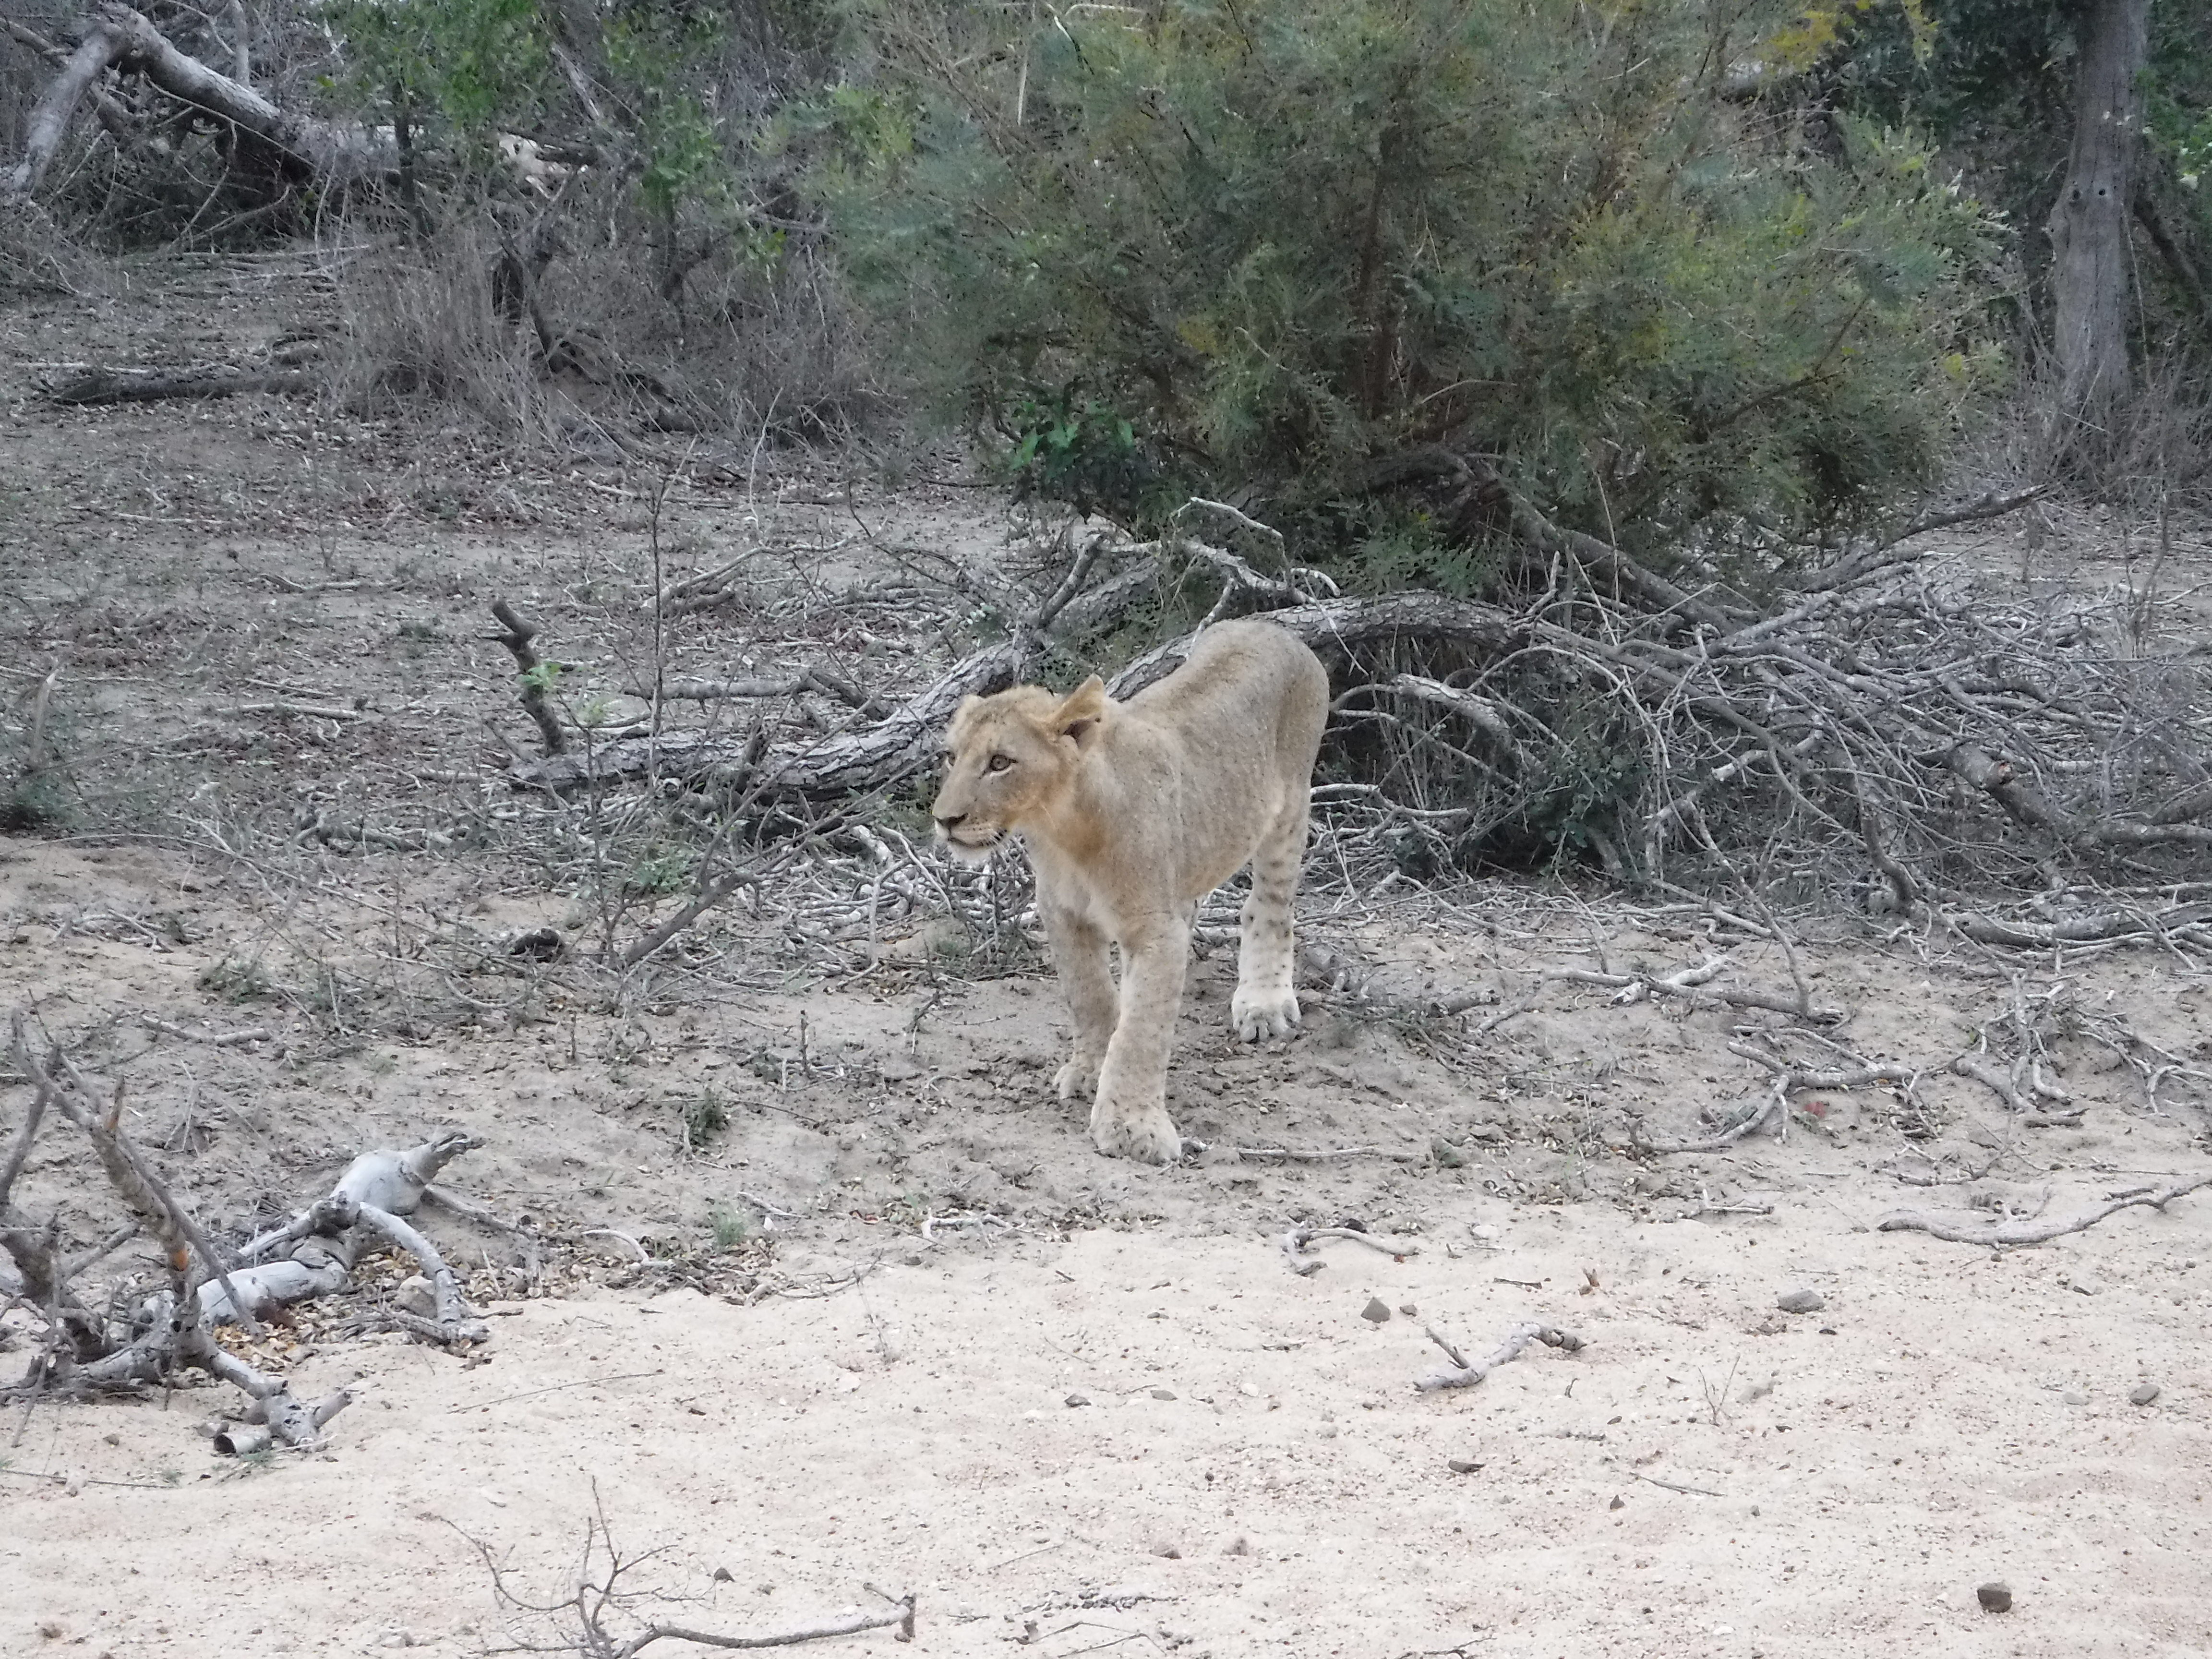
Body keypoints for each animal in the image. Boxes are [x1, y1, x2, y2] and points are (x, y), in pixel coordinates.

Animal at [931, 619, 1330, 1164]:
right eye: (952, 757)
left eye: (999, 762)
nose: (944, 820)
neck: (1064, 832)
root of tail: (1269, 625)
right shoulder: (1063, 914)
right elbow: (1091, 996)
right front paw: (1089, 1070)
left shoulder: (1155, 932)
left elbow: (1143, 1030)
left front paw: (1131, 1126)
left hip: (1289, 808)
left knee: (1270, 905)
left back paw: (1264, 1003)